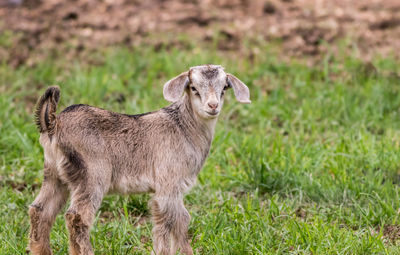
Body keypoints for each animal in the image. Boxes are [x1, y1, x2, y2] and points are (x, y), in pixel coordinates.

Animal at [28, 64, 250, 254]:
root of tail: (53, 124)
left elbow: (178, 219)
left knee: (40, 210)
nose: (213, 105)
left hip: (54, 174)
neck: (184, 128)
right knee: (77, 217)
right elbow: (169, 220)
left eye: (224, 88)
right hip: (92, 175)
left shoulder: (173, 188)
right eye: (194, 87)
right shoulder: (168, 183)